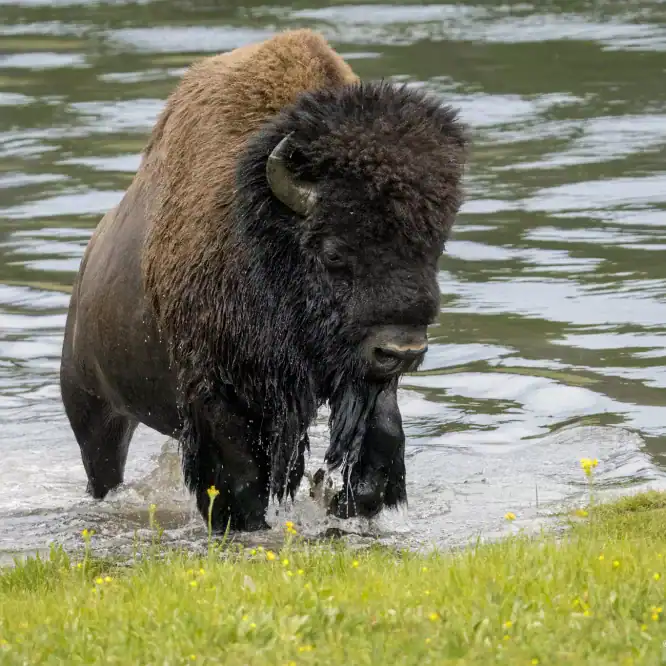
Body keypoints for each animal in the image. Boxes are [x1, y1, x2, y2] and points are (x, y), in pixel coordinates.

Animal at [59, 29, 469, 532]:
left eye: (435, 247)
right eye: (334, 252)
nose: (404, 350)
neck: (266, 230)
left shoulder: (363, 378)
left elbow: (382, 440)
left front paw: (339, 501)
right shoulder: (219, 393)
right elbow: (240, 480)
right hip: (95, 413)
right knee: (103, 469)